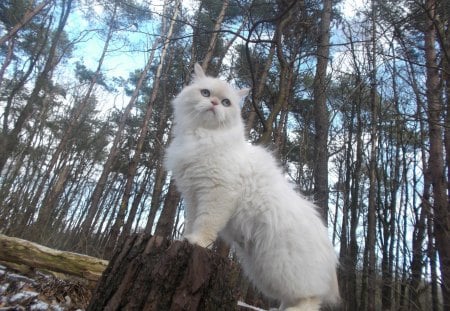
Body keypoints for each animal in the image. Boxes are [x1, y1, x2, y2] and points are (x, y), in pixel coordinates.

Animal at [164, 64, 338, 311]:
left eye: (226, 102)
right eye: (205, 93)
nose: (214, 103)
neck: (203, 137)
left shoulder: (216, 193)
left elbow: (206, 223)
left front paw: (198, 242)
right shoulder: (192, 195)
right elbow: (191, 221)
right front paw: (185, 239)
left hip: (283, 268)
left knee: (310, 299)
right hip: (265, 271)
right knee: (294, 297)